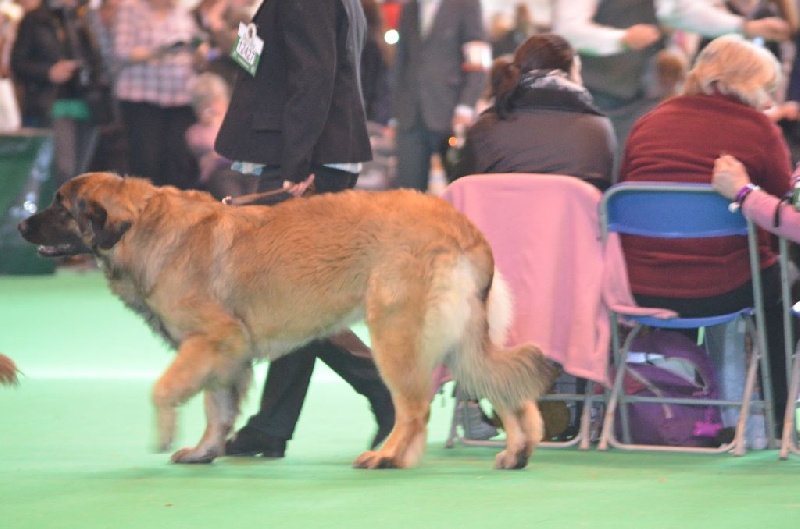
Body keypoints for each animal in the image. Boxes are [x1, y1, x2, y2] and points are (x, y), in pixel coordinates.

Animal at [18, 173, 556, 470]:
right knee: (503, 387)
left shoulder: (213, 338)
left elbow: (165, 387)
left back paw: (388, 456)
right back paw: (518, 451)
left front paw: (167, 430)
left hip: (397, 332)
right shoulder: (224, 352)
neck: (143, 227)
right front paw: (205, 451)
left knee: (415, 408)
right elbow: (217, 407)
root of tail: (463, 226)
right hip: (457, 338)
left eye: (60, 205)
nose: (20, 223)